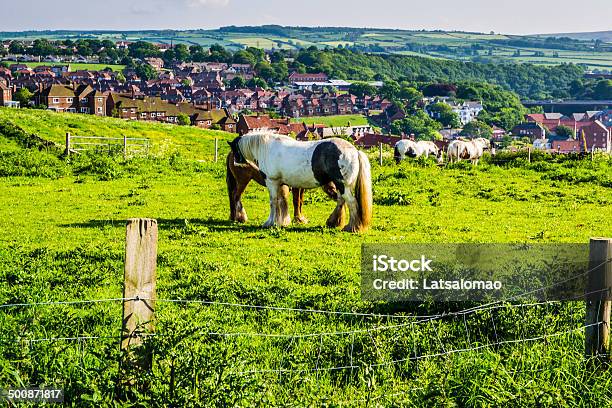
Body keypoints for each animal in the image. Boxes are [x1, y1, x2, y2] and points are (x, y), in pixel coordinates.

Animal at [228, 131, 372, 233]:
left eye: (235, 149)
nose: (236, 163)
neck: (267, 147)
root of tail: (355, 151)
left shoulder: (272, 182)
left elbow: (273, 202)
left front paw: (270, 222)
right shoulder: (280, 184)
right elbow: (281, 201)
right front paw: (279, 222)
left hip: (342, 185)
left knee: (351, 202)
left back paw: (352, 227)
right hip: (339, 184)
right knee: (342, 201)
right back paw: (335, 222)